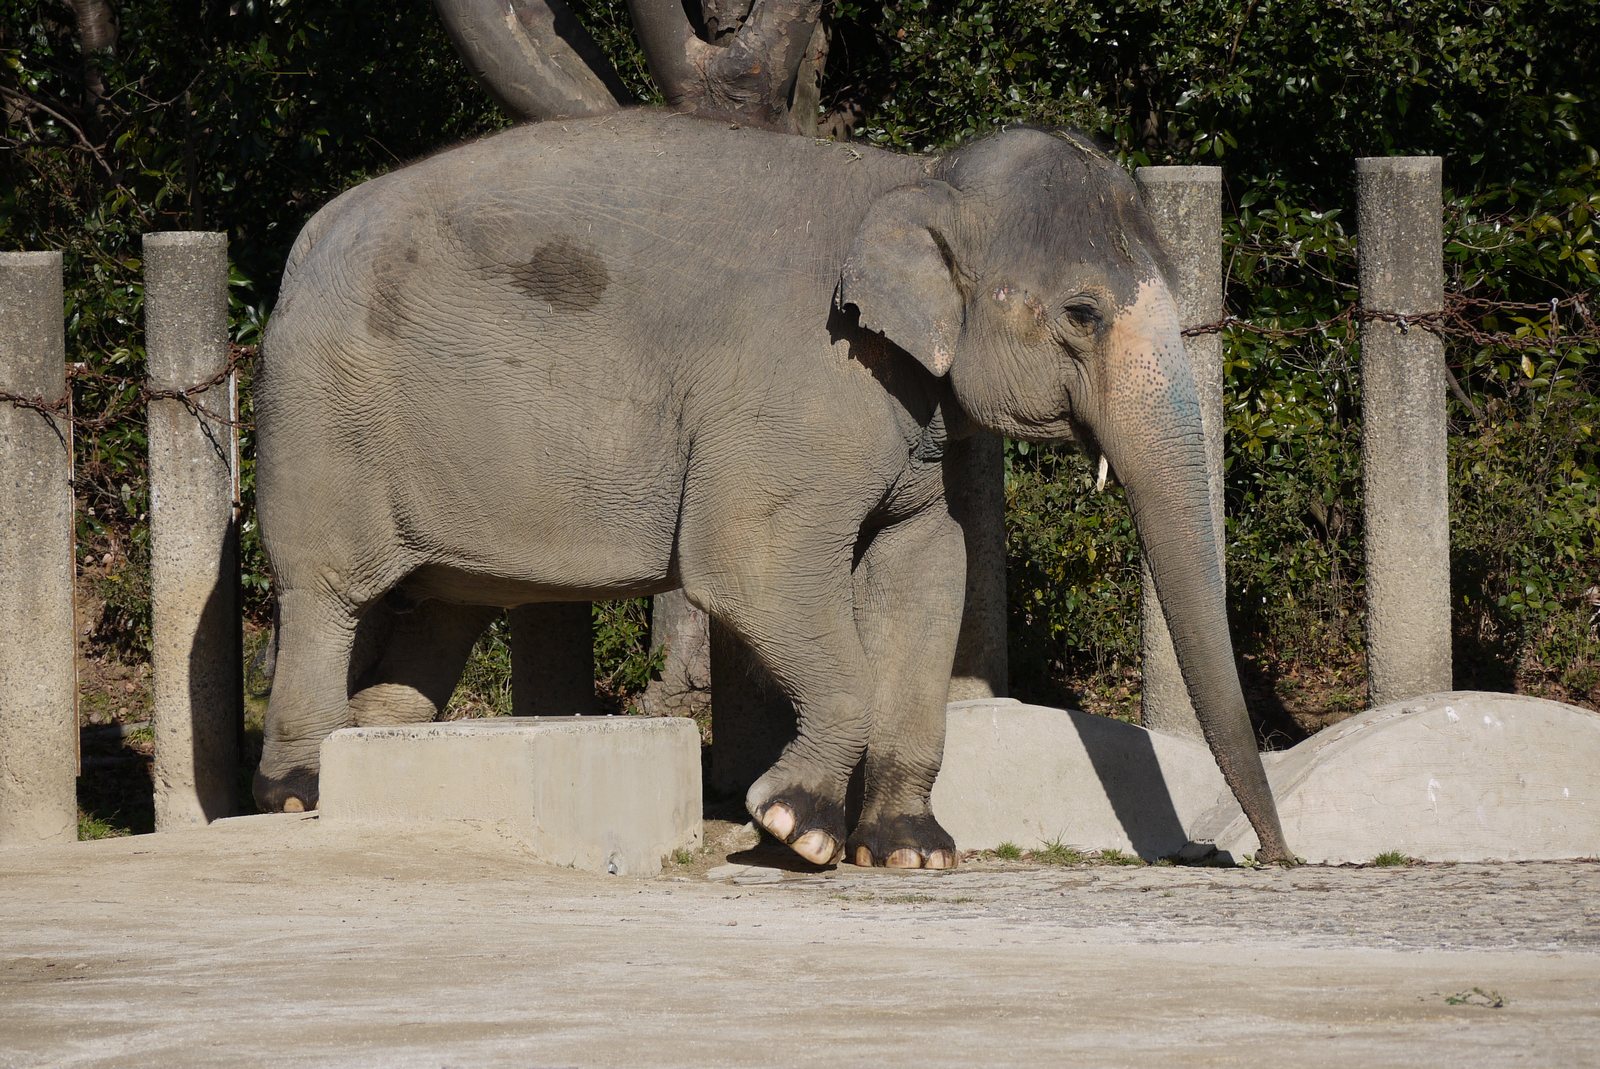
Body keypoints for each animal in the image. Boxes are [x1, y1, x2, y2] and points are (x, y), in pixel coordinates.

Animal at [252, 104, 1299, 864]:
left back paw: (372, 737)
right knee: (326, 592)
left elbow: (928, 567)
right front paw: (794, 827)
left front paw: (910, 851)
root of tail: (304, 237)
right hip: (320, 415)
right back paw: (299, 793)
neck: (916, 176)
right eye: (1082, 312)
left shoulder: (908, 410)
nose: (1271, 857)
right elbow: (748, 568)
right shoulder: (802, 380)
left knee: (441, 607)